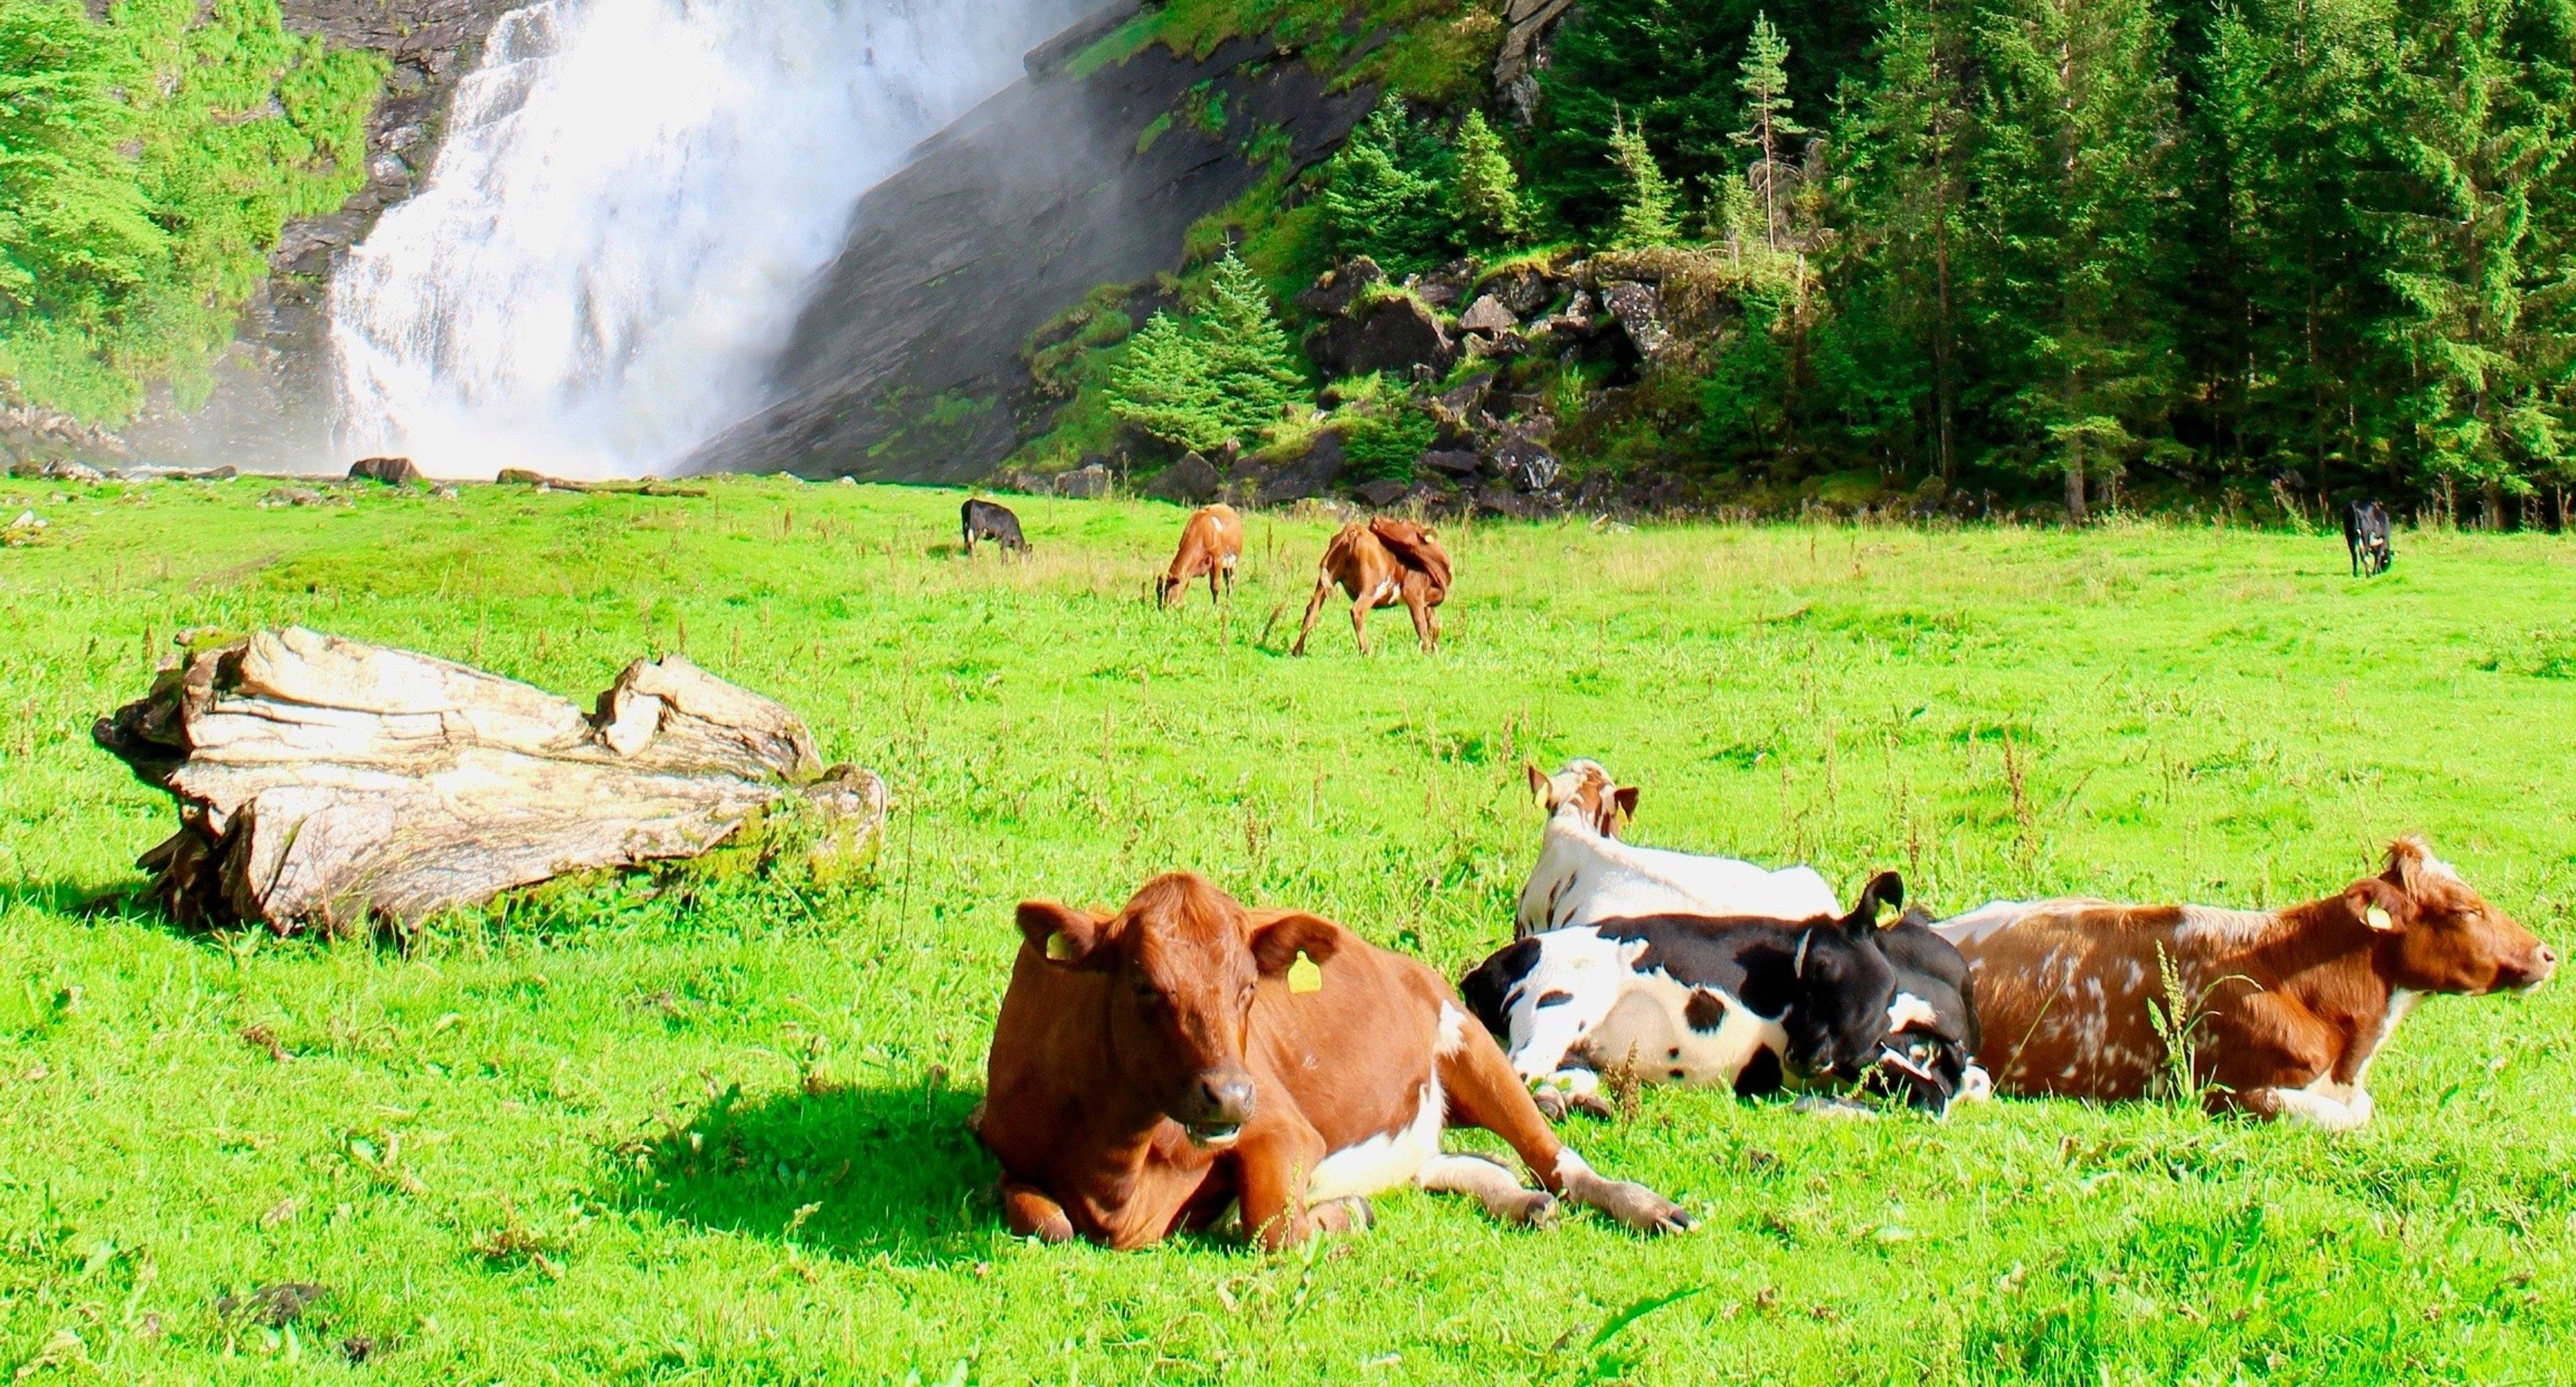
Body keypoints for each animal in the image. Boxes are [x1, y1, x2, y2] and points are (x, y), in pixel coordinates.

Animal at [968, 875, 1690, 1256]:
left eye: (1248, 989)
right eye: (1145, 986)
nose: (1232, 1095)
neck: (1114, 1174)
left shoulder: (1284, 1129)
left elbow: (1273, 1227)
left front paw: (1343, 1215)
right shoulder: (1001, 1143)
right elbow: (1048, 1221)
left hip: (1468, 1041)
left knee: (1559, 1162)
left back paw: (1642, 1204)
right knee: (1452, 1161)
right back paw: (1517, 1198)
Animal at [1154, 502, 1241, 604]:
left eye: (1170, 600)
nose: (1162, 607)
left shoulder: (1217, 560)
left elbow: (1215, 587)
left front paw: (1215, 606)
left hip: (1234, 560)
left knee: (1230, 582)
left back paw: (1228, 603)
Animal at [1288, 520, 1452, 656]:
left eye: (1401, 521)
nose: (1375, 519)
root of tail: (1354, 528)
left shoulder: (1427, 602)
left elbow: (1435, 625)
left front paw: (1436, 652)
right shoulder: (1414, 593)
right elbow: (1421, 624)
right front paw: (1427, 654)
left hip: (1328, 577)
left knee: (1312, 609)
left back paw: (1297, 651)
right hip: (1371, 587)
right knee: (1357, 611)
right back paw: (1366, 652)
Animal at [1463, 875, 1978, 1121]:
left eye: (1821, 964)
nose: (1797, 1055)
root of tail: (1483, 970)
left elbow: (1957, 1089)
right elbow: (1933, 1097)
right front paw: (1822, 1107)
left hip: (1577, 1052)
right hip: (1558, 1004)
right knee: (1514, 1074)